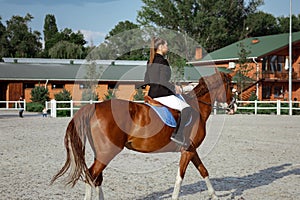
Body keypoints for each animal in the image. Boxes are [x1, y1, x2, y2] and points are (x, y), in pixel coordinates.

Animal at [50, 71, 232, 199]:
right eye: (230, 86)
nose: (232, 106)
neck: (196, 107)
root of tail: (94, 107)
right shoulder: (188, 151)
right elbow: (180, 177)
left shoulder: (192, 150)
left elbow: (204, 171)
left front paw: (215, 196)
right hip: (108, 152)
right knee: (91, 176)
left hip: (101, 153)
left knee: (96, 178)